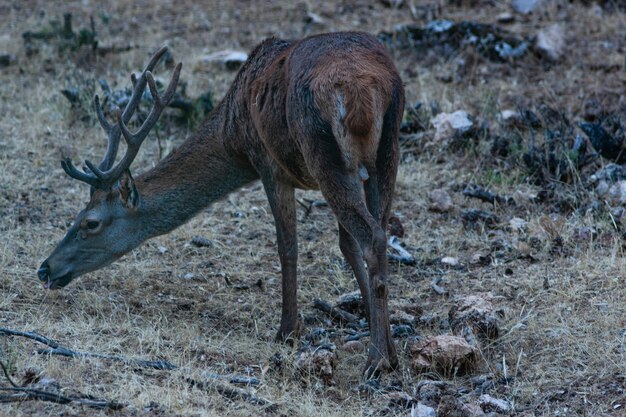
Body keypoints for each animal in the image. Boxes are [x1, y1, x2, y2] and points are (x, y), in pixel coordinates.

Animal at [36, 32, 402, 376]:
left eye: (90, 222)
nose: (45, 268)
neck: (234, 133)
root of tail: (362, 89)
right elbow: (344, 245)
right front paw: (373, 323)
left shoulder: (267, 162)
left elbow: (288, 247)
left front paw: (286, 331)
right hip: (386, 150)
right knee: (379, 233)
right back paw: (389, 353)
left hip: (324, 154)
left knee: (371, 237)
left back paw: (377, 359)